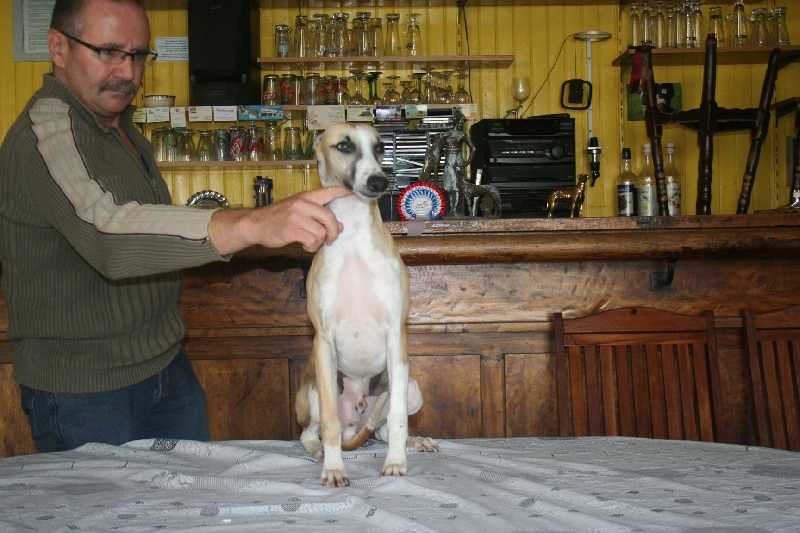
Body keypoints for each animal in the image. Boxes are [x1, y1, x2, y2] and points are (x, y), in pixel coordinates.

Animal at [295, 122, 439, 488]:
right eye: (344, 146)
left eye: (379, 147)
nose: (379, 183)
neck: (354, 241)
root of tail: (357, 424)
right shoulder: (322, 341)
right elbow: (329, 424)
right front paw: (333, 469)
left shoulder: (396, 338)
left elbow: (399, 420)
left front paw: (396, 464)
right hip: (314, 392)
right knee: (310, 432)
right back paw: (320, 451)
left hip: (410, 386)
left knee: (387, 429)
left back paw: (416, 440)